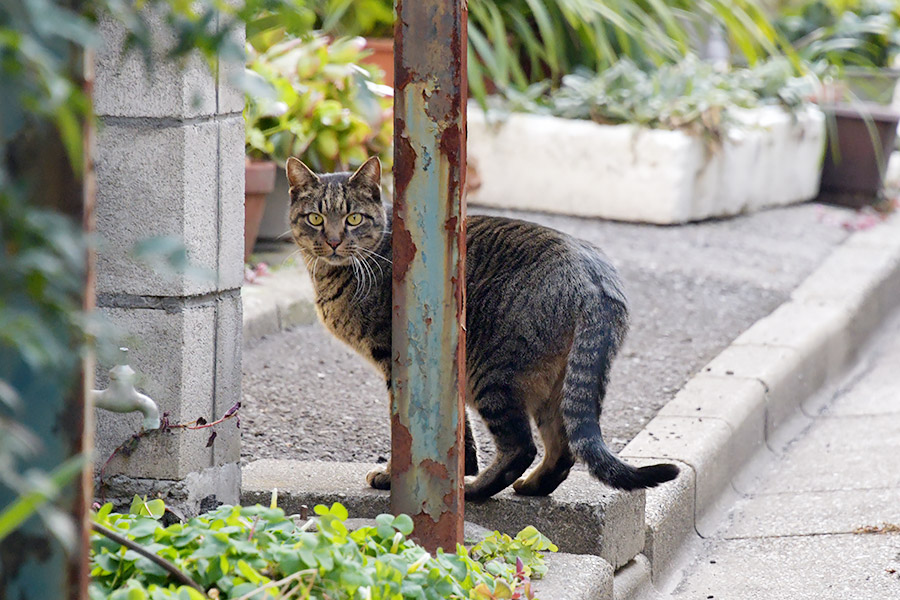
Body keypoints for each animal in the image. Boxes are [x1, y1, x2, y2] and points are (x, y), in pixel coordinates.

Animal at [286, 156, 676, 502]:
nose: (333, 240)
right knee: (563, 449)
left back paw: (473, 491)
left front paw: (400, 476)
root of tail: (594, 279)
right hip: (556, 386)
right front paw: (459, 466)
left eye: (353, 218)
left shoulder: (399, 362)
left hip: (493, 374)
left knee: (522, 447)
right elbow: (459, 431)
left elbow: (411, 431)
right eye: (316, 218)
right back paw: (531, 486)